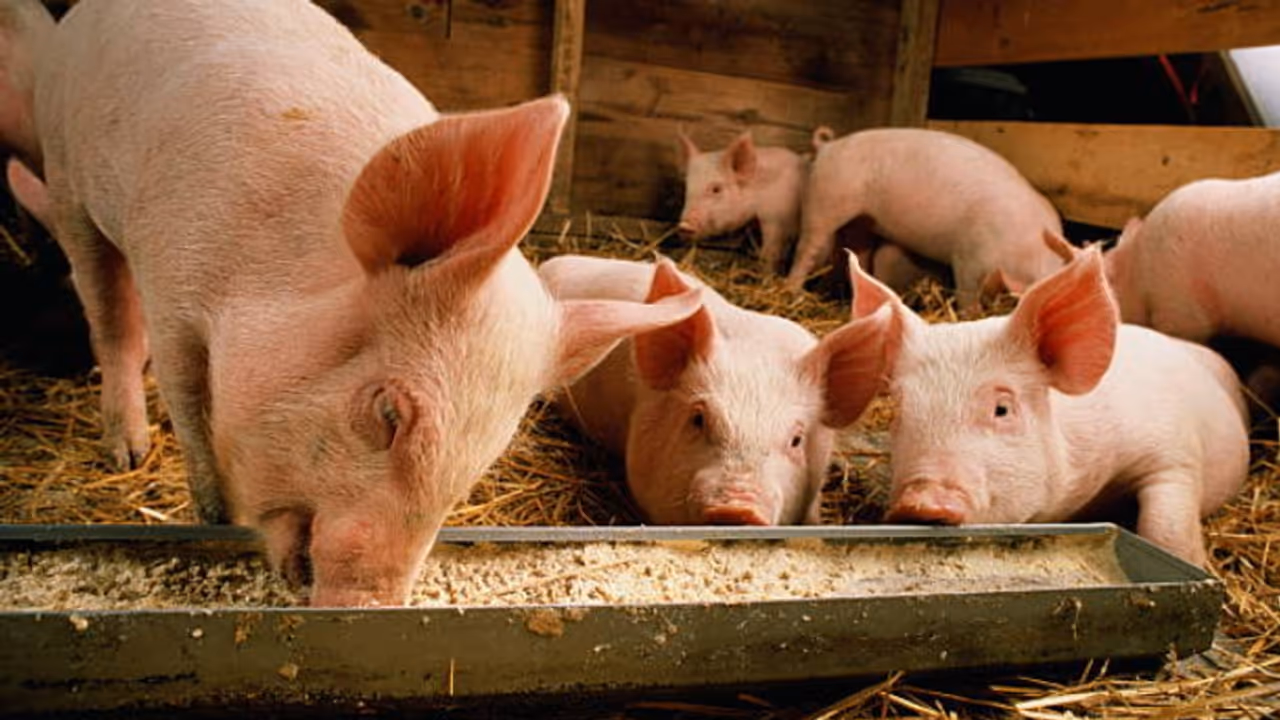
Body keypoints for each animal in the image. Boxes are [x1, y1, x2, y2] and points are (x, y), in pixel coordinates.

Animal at [1, 0, 703, 606]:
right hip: (65, 173)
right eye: (389, 412)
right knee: (108, 313)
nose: (370, 605)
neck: (264, 273)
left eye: (484, 456)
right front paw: (210, 516)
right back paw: (128, 452)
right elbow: (187, 402)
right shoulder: (171, 275)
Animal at [675, 129, 809, 274]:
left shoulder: (777, 221)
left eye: (716, 189)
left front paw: (765, 273)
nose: (684, 225)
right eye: (687, 186)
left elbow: (770, 252)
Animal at [786, 127, 1066, 309]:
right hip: (824, 200)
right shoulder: (969, 257)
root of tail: (828, 146)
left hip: (862, 220)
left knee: (859, 254)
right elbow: (967, 298)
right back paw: (792, 291)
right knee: (807, 248)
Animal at [832, 243, 1249, 566]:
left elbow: (1165, 528)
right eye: (899, 412)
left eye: (1002, 409)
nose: (920, 502)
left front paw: (1199, 568)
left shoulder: (1174, 451)